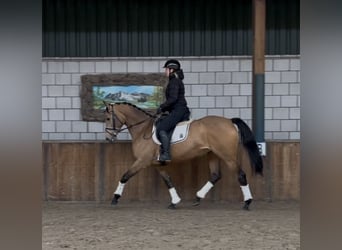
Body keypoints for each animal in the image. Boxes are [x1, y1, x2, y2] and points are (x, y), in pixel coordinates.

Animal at [103, 101, 264, 209]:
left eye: (107, 118)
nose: (108, 138)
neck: (143, 129)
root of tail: (230, 122)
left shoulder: (143, 161)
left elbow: (125, 176)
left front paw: (115, 198)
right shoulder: (157, 164)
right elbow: (168, 181)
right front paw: (175, 201)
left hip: (227, 156)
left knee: (241, 174)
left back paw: (247, 202)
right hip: (212, 154)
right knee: (215, 175)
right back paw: (197, 198)